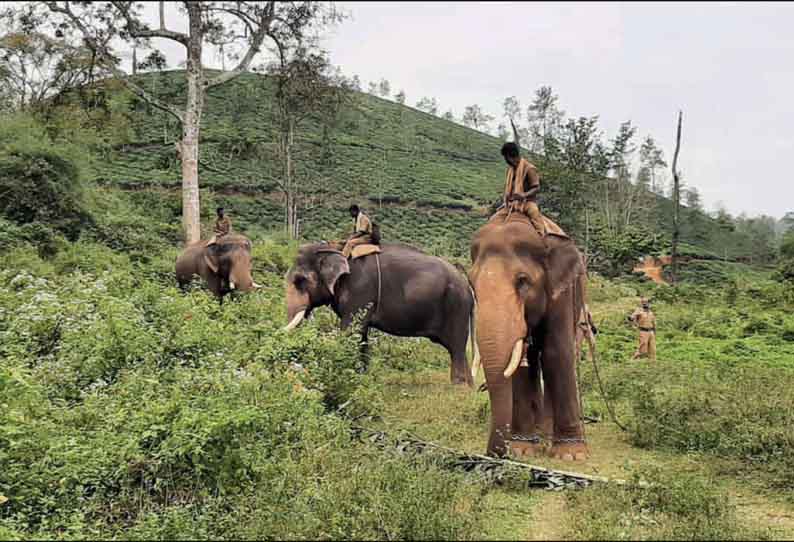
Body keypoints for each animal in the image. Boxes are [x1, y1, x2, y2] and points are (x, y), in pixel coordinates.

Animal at [284, 242, 476, 386]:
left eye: (300, 280)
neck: (336, 247)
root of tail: (468, 285)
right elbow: (361, 335)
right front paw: (362, 377)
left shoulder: (359, 291)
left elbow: (351, 331)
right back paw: (469, 386)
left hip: (456, 307)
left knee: (456, 348)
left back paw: (458, 387)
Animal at [470, 215, 588, 462]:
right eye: (472, 284)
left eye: (522, 281)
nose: (494, 454)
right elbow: (519, 362)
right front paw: (521, 449)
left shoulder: (562, 291)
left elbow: (557, 352)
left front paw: (571, 455)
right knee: (532, 359)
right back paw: (539, 433)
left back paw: (547, 434)